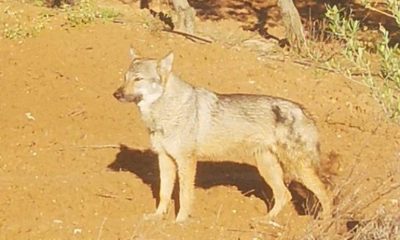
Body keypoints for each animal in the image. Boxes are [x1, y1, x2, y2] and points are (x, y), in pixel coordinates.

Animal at [112, 48, 332, 223]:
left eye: (138, 79)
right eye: (124, 78)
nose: (116, 94)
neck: (164, 112)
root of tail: (305, 111)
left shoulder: (186, 161)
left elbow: (184, 195)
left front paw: (180, 222)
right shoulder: (165, 159)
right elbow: (164, 194)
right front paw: (157, 218)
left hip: (300, 170)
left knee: (326, 195)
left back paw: (325, 225)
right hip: (267, 167)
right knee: (284, 195)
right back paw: (263, 221)